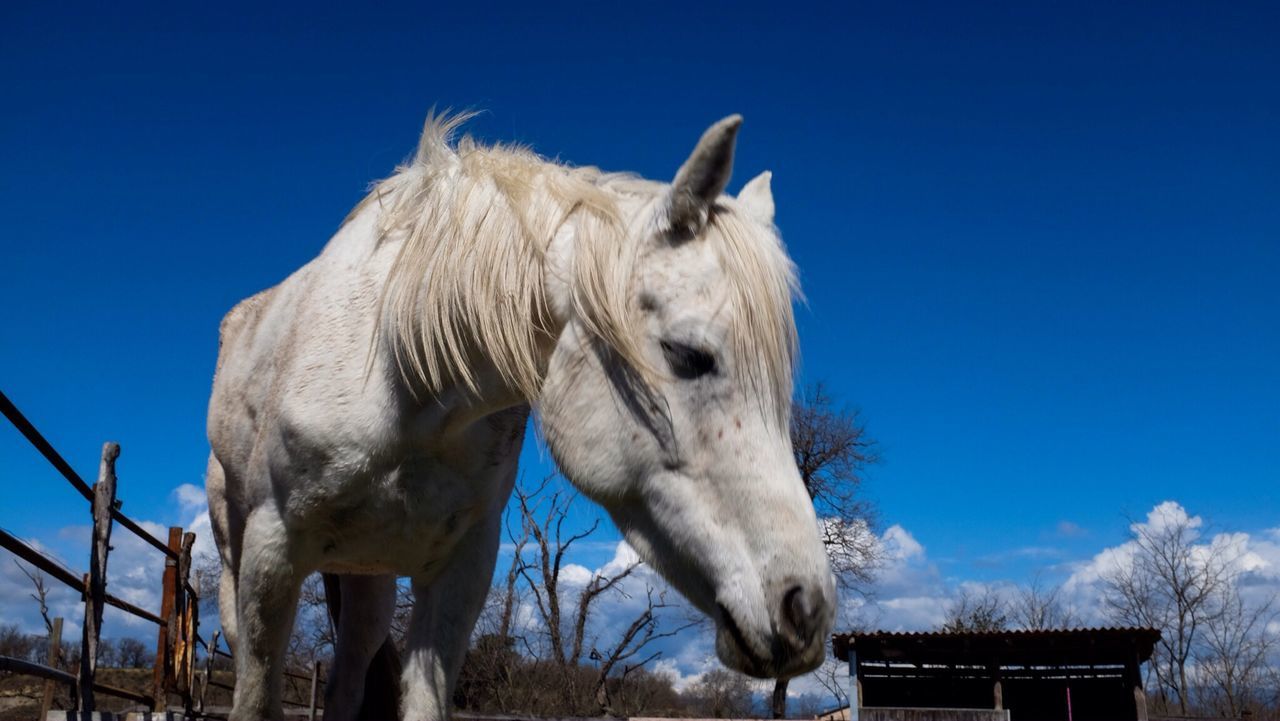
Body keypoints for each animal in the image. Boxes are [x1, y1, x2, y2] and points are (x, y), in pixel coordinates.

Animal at [204, 113, 834, 721]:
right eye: (687, 354)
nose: (805, 608)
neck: (398, 370)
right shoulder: (271, 556)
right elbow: (254, 702)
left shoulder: (461, 572)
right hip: (238, 560)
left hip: (368, 583)